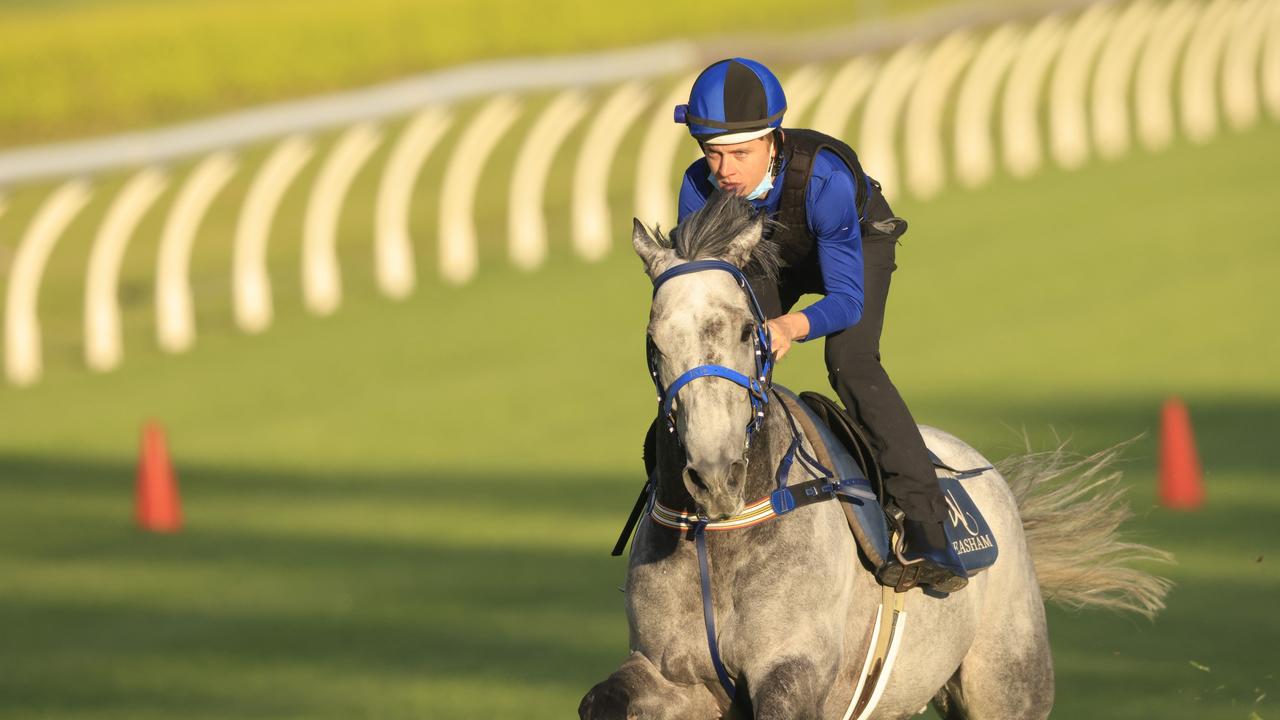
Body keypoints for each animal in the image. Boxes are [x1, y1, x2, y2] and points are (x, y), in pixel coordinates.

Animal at [581, 192, 1172, 717]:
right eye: (654, 342)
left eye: (749, 331)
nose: (714, 475)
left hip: (1007, 680)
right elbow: (601, 700)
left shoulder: (794, 670)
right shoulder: (677, 674)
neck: (722, 536)